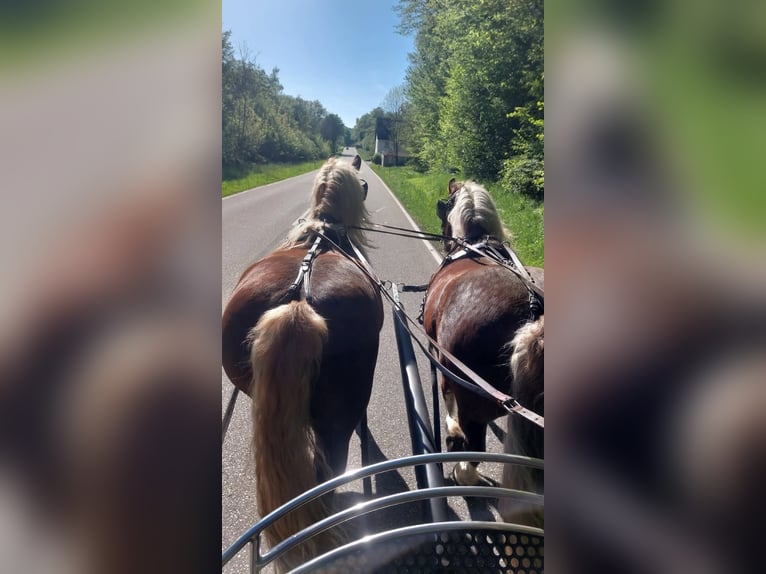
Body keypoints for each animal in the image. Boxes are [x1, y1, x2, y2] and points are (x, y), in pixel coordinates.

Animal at [422, 178, 544, 488]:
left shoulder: (443, 361)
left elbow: (446, 395)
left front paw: (452, 430)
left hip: (472, 400)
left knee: (475, 447)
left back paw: (462, 469)